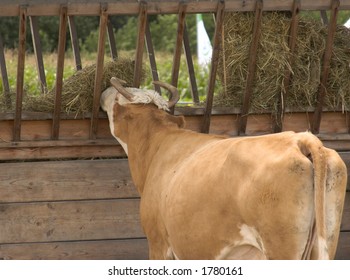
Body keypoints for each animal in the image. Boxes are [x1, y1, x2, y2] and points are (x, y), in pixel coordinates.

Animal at [100, 77, 346, 260]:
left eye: (118, 98)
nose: (104, 91)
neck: (159, 143)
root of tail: (300, 139)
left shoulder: (158, 242)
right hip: (326, 242)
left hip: (281, 248)